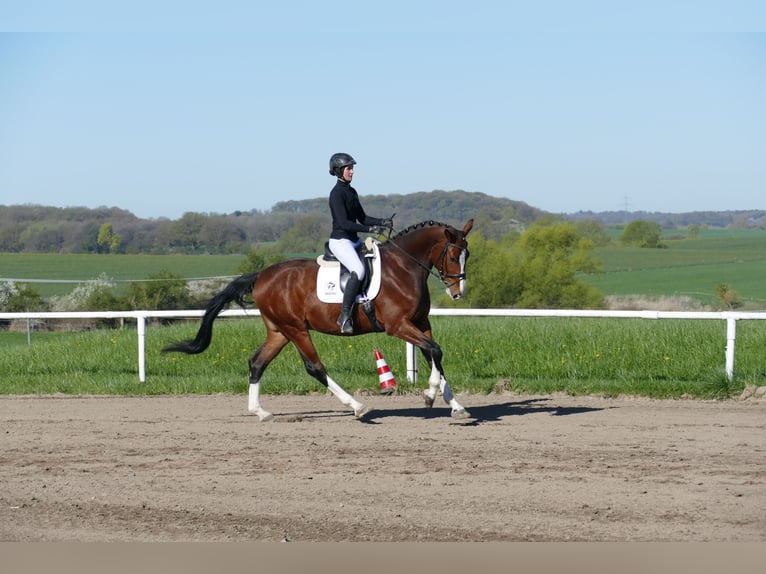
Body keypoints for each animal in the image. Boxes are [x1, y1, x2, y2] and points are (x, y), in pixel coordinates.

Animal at [161, 218, 474, 422]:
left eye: (467, 255)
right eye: (453, 255)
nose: (458, 293)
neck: (403, 267)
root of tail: (261, 275)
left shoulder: (421, 324)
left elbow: (434, 354)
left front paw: (455, 405)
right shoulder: (399, 326)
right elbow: (434, 351)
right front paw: (430, 395)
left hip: (279, 331)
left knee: (257, 363)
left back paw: (261, 412)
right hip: (296, 329)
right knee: (314, 367)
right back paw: (358, 406)